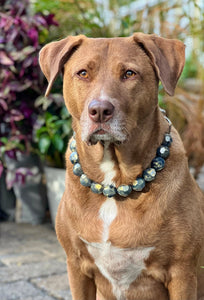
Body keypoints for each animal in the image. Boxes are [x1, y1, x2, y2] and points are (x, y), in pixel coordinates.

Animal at [39, 33, 204, 300]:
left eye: (129, 73)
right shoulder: (77, 266)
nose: (99, 110)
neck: (114, 182)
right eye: (83, 73)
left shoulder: (182, 273)